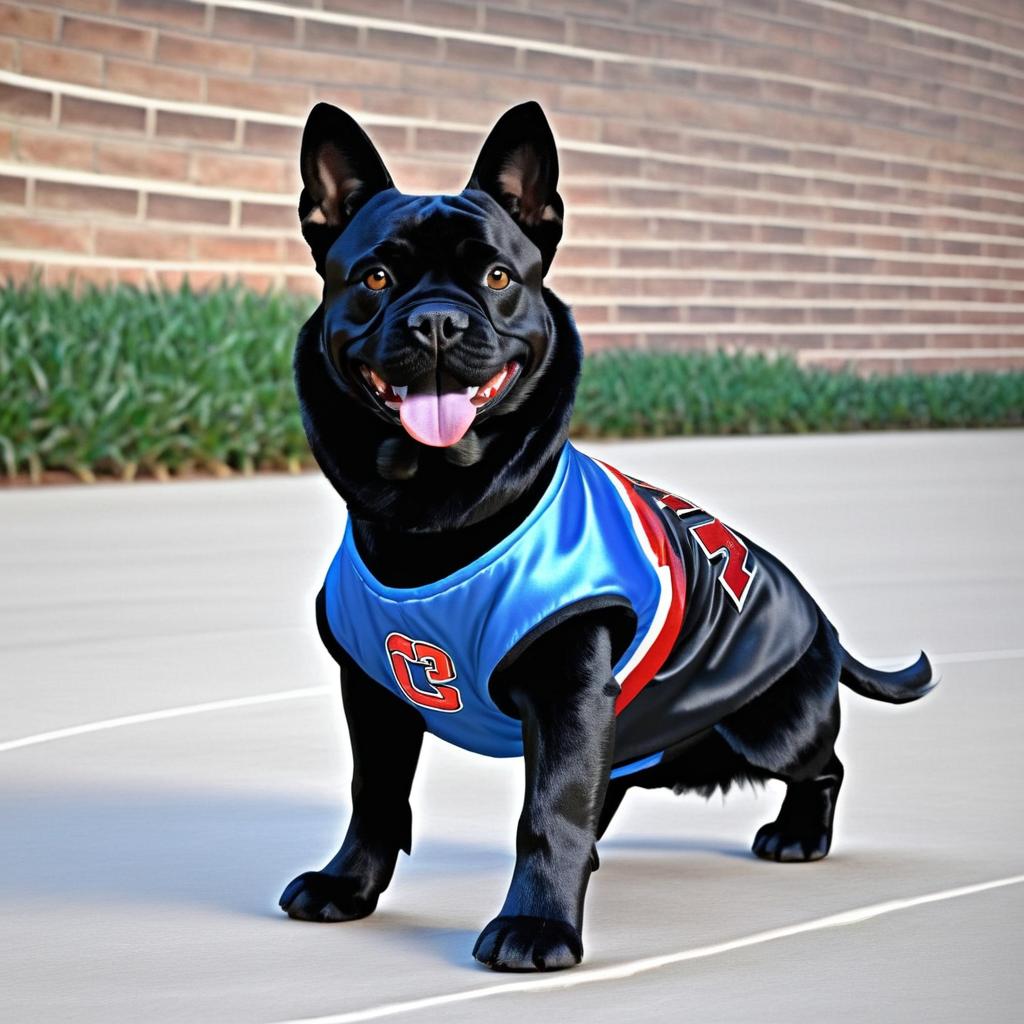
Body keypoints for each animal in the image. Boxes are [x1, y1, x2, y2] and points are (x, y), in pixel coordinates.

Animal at [280, 99, 937, 970]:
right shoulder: (376, 694)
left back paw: (799, 835)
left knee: (822, 764)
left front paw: (537, 928)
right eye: (375, 278)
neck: (436, 511)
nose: (437, 322)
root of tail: (824, 624)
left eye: (498, 278)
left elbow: (550, 811)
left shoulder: (568, 696)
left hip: (768, 728)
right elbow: (376, 793)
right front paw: (347, 886)